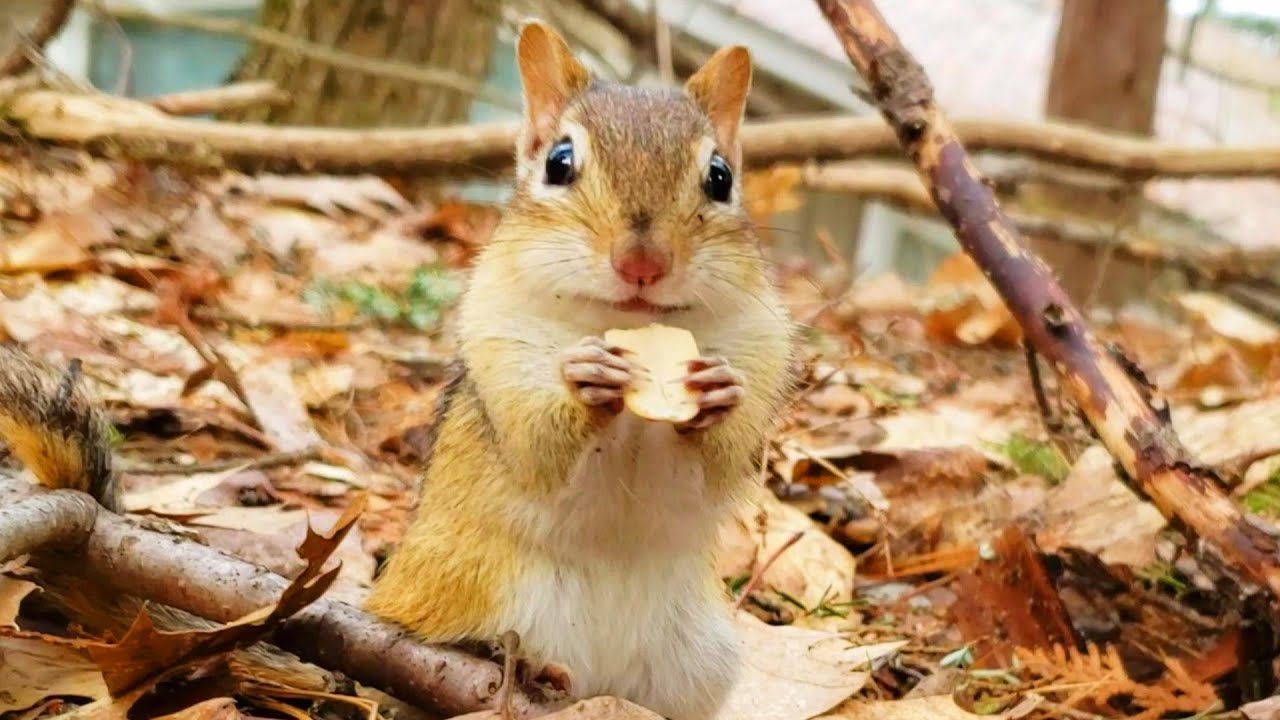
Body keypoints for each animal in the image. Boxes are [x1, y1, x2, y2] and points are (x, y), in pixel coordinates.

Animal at [365, 20, 794, 720]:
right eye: (558, 162)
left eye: (721, 176)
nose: (642, 262)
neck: (626, 326)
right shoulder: (500, 350)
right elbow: (536, 448)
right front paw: (582, 383)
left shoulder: (762, 352)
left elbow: (711, 472)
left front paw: (716, 396)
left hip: (696, 662)